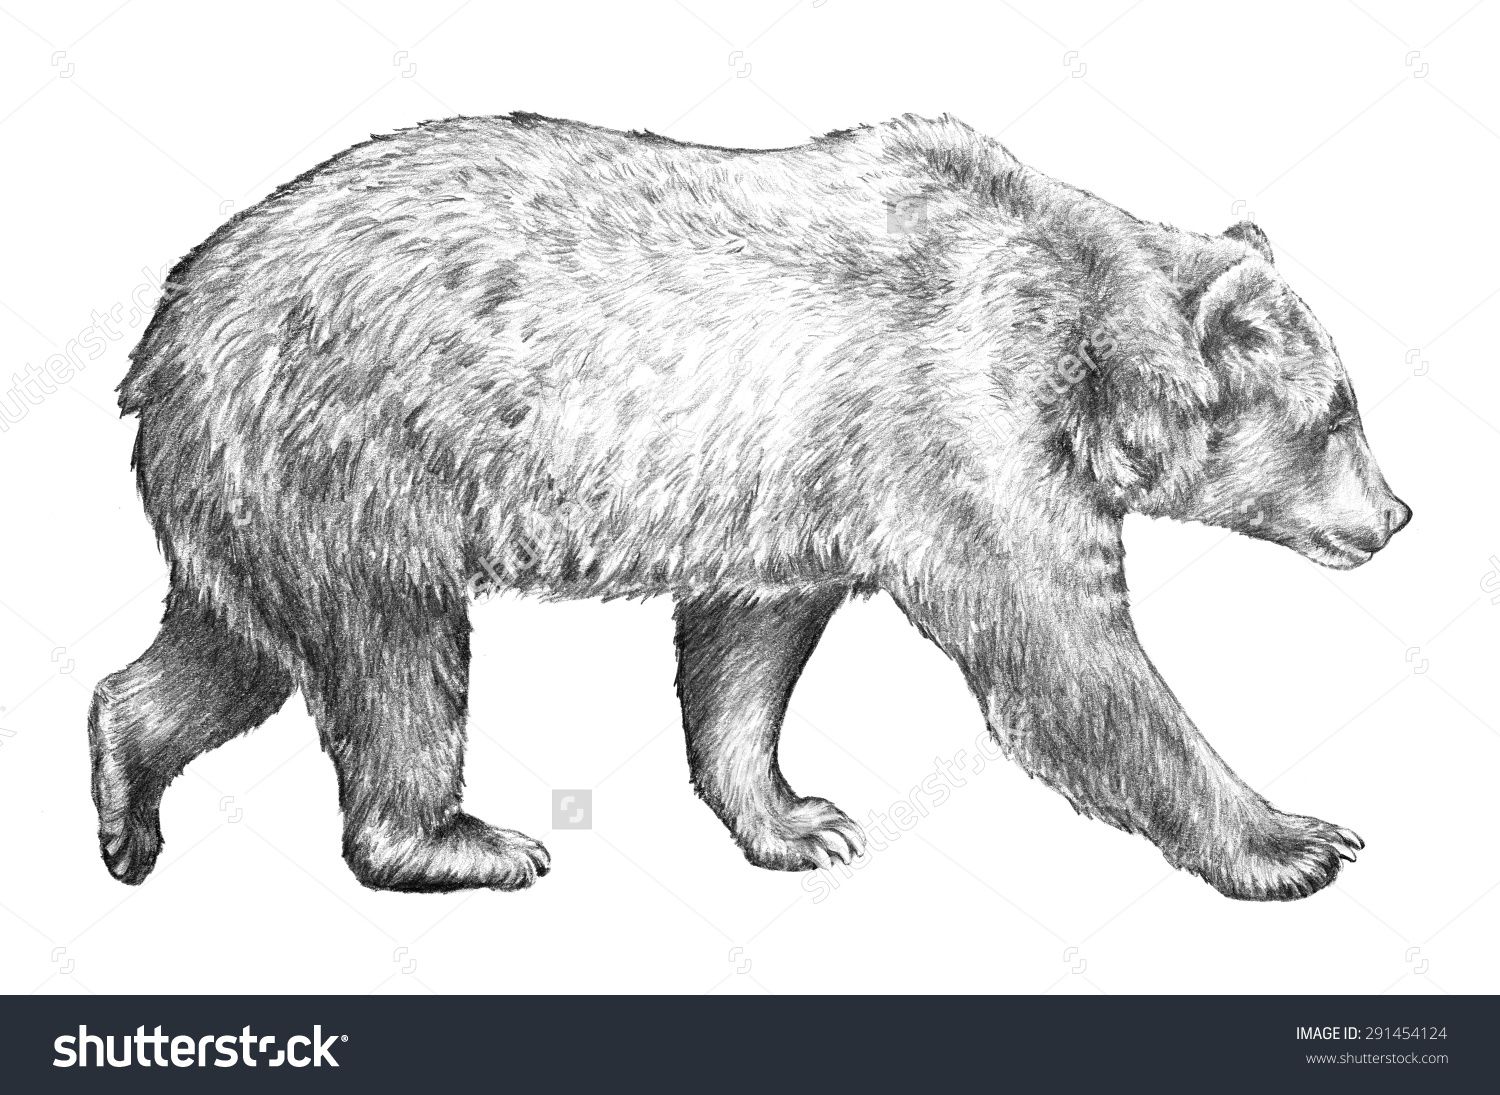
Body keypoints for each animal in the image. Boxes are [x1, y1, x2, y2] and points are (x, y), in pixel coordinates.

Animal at [90, 112, 1409, 900]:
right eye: (1338, 412)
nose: (1395, 515)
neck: (1087, 361)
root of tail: (167, 327)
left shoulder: (798, 489)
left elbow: (746, 653)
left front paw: (799, 818)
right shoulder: (960, 422)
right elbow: (1066, 656)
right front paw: (1294, 837)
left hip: (255, 491)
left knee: (235, 646)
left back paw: (125, 804)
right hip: (353, 452)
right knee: (392, 655)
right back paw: (462, 840)